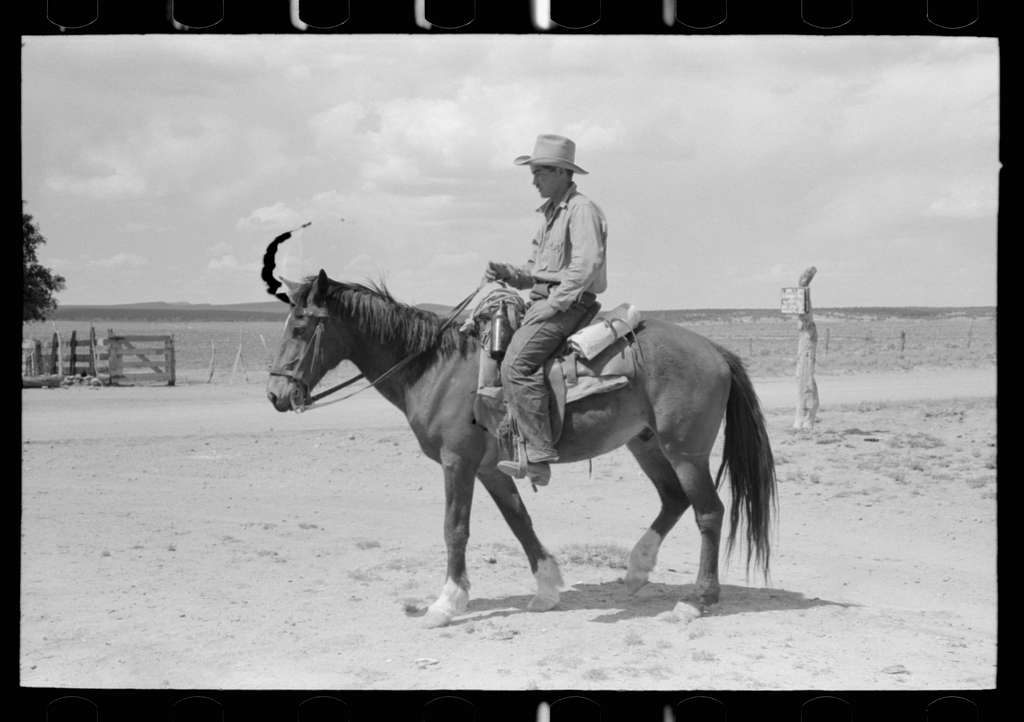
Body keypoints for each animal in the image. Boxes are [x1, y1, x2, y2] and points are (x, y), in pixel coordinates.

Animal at [264, 264, 774, 626]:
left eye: (301, 327)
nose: (275, 395)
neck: (434, 367)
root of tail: (715, 351)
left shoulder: (457, 461)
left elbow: (455, 528)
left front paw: (445, 604)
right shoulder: (492, 467)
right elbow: (519, 522)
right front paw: (546, 589)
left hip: (685, 450)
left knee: (709, 512)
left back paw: (697, 601)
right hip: (646, 444)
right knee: (673, 500)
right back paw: (636, 570)